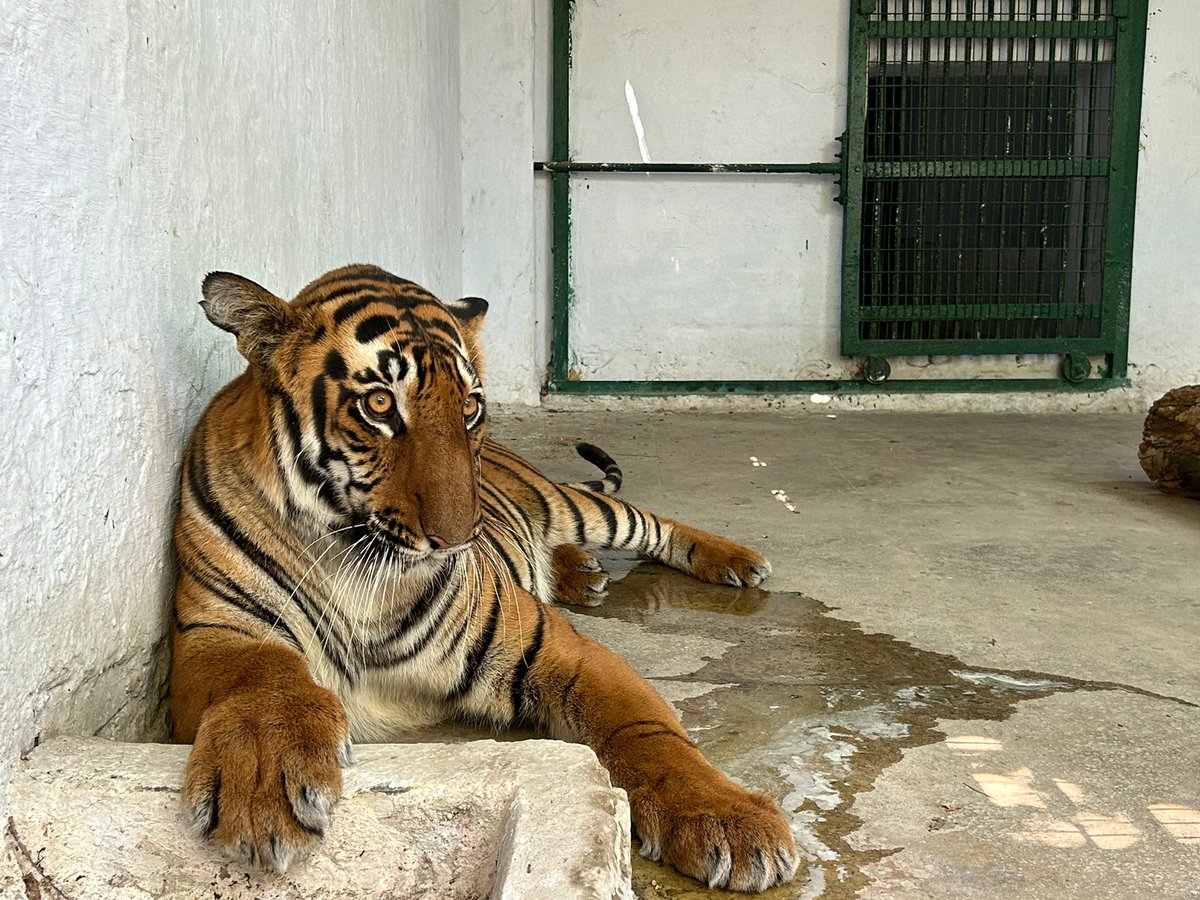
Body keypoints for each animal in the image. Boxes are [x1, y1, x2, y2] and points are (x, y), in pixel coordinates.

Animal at [169, 264, 801, 892]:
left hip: (576, 506)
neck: (357, 564)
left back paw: (735, 560)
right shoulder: (210, 632)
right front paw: (264, 784)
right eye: (379, 403)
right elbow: (262, 673)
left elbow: (648, 730)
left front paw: (727, 820)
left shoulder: (553, 645)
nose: (457, 541)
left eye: (469, 406)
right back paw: (581, 572)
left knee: (653, 523)